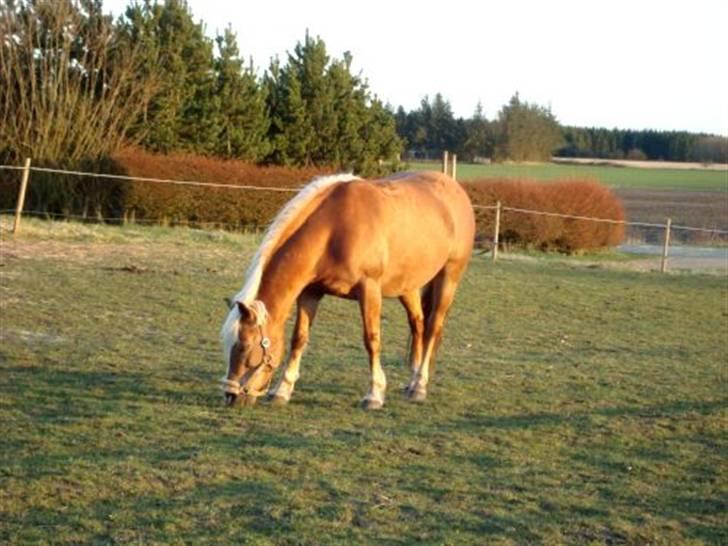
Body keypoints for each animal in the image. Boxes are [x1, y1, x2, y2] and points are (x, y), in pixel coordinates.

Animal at [219, 170, 474, 408]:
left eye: (245, 347)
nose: (231, 397)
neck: (334, 228)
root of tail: (455, 189)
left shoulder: (369, 290)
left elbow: (371, 339)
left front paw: (374, 394)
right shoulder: (310, 292)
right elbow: (299, 338)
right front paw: (283, 390)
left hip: (449, 278)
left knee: (432, 328)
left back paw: (419, 385)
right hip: (407, 285)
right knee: (418, 324)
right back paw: (411, 381)